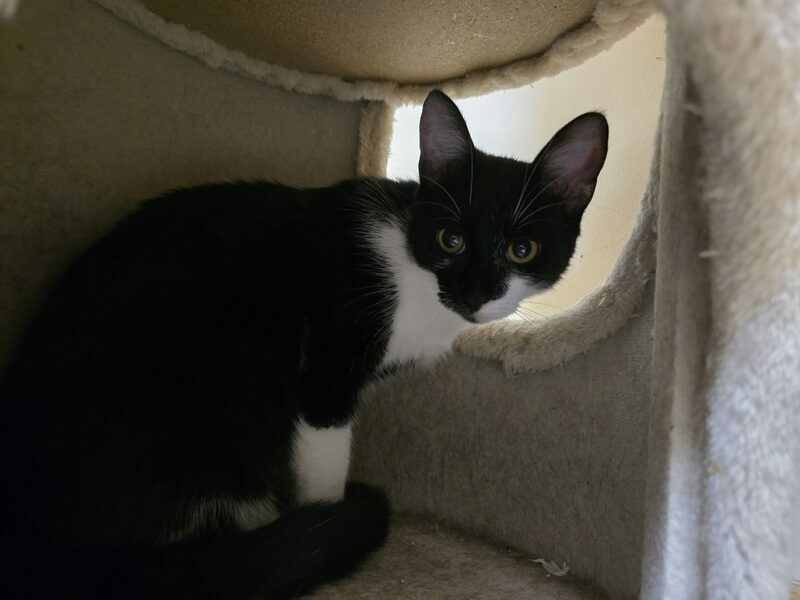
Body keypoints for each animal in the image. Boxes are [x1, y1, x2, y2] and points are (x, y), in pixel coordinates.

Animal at [0, 90, 607, 598]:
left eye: (522, 250)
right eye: (450, 239)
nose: (475, 295)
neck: (414, 277)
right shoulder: (329, 355)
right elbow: (323, 454)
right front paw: (327, 520)